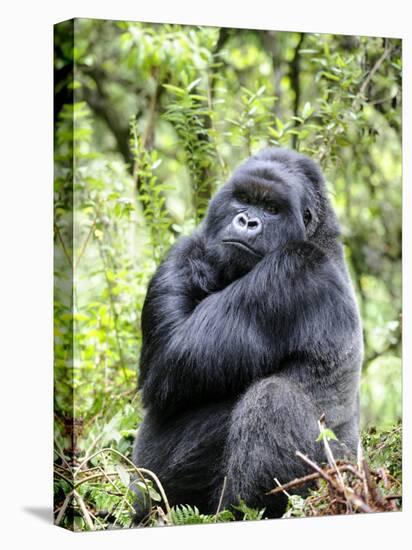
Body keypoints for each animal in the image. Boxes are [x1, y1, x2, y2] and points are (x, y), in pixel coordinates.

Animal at [133, 146, 364, 520]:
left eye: (272, 209)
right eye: (242, 199)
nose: (246, 222)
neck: (317, 235)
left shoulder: (293, 269)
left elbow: (170, 359)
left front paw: (200, 261)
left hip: (332, 481)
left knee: (272, 397)